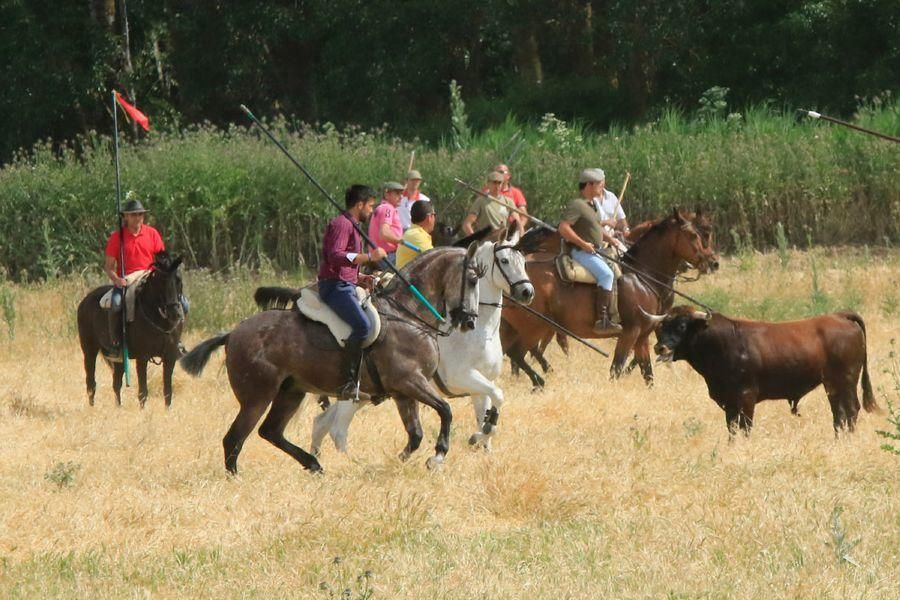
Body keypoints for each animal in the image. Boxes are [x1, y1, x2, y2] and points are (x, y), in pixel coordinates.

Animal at [77, 251, 185, 410]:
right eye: (161, 282)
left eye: (178, 280)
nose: (175, 314)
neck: (160, 321)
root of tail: (84, 301)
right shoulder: (143, 357)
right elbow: (143, 391)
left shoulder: (170, 357)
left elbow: (168, 391)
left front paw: (167, 411)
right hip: (89, 350)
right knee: (91, 383)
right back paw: (92, 408)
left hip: (119, 359)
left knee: (116, 384)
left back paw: (118, 408)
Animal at [178, 244, 482, 474]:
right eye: (473, 279)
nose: (470, 321)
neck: (408, 314)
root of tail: (232, 333)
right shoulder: (410, 381)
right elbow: (446, 410)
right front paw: (437, 456)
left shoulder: (403, 393)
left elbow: (416, 434)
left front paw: (399, 461)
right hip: (257, 397)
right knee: (235, 438)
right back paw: (237, 477)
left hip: (291, 392)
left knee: (270, 431)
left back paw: (313, 464)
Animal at [312, 239, 536, 454]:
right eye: (504, 261)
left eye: (524, 262)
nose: (527, 292)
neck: (481, 331)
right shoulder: (463, 377)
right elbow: (497, 395)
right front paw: (475, 438)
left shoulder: (482, 386)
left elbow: (489, 412)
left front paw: (480, 440)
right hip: (356, 395)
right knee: (337, 429)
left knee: (321, 423)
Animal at [500, 210, 716, 390]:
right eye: (694, 235)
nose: (712, 262)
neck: (642, 276)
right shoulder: (630, 333)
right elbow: (617, 368)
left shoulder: (642, 336)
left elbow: (647, 373)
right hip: (534, 326)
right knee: (517, 352)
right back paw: (540, 380)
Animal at [648, 304, 880, 436]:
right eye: (661, 327)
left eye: (682, 326)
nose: (660, 347)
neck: (724, 342)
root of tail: (840, 316)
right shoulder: (729, 401)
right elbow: (732, 428)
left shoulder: (745, 396)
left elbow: (744, 427)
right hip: (832, 385)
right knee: (839, 413)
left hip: (846, 380)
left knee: (851, 410)